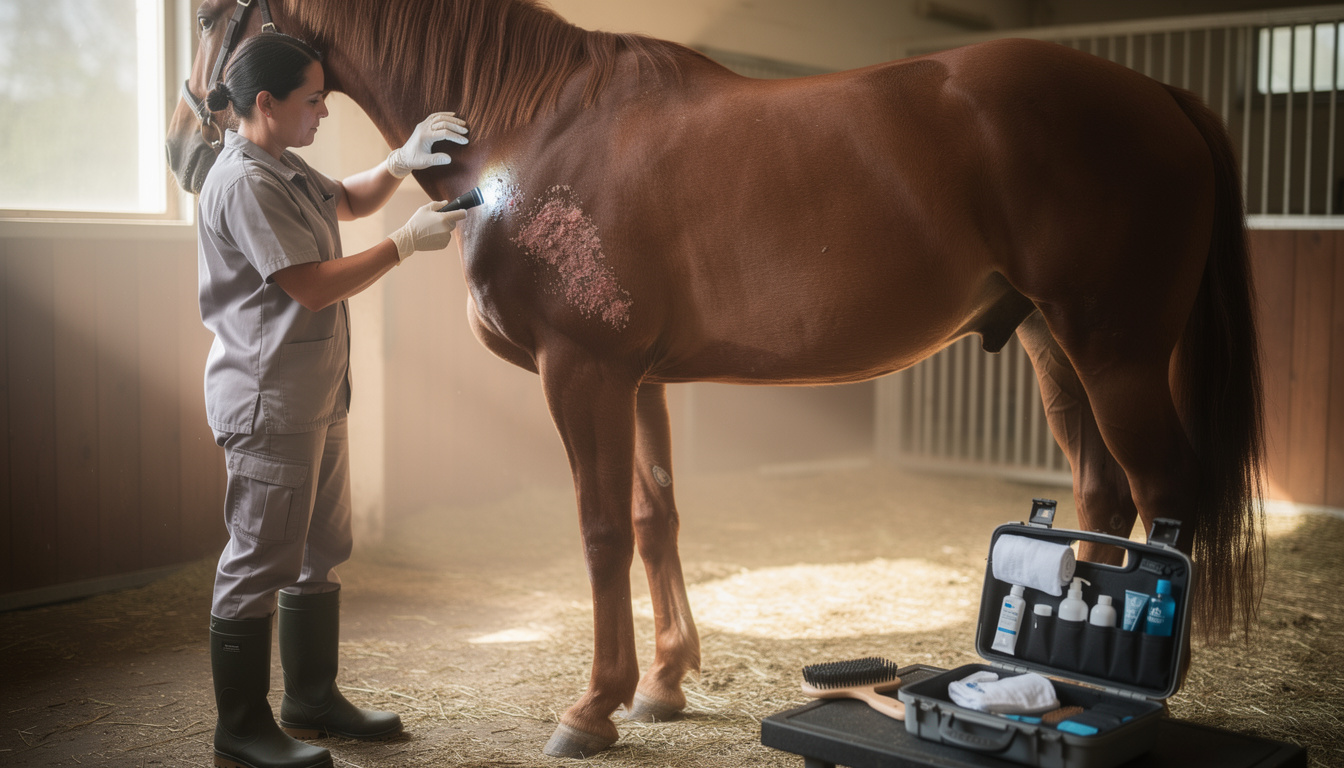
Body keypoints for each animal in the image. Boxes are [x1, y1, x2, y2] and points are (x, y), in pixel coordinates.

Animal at [168, 0, 1266, 757]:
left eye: (216, 14)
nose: (184, 151)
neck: (536, 126)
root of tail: (1158, 96)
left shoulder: (584, 374)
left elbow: (601, 531)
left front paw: (594, 708)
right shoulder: (638, 379)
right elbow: (655, 517)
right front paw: (663, 684)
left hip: (1116, 351)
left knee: (1164, 495)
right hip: (1052, 347)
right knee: (1104, 496)